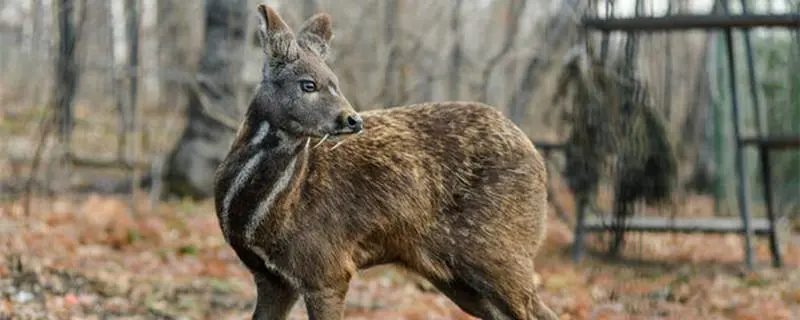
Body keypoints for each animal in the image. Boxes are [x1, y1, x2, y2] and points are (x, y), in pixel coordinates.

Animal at [216, 5, 560, 320]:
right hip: (454, 274)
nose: (352, 119)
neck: (265, 217)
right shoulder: (272, 279)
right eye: (308, 84)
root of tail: (538, 159)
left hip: (499, 250)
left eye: (335, 82)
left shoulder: (327, 268)